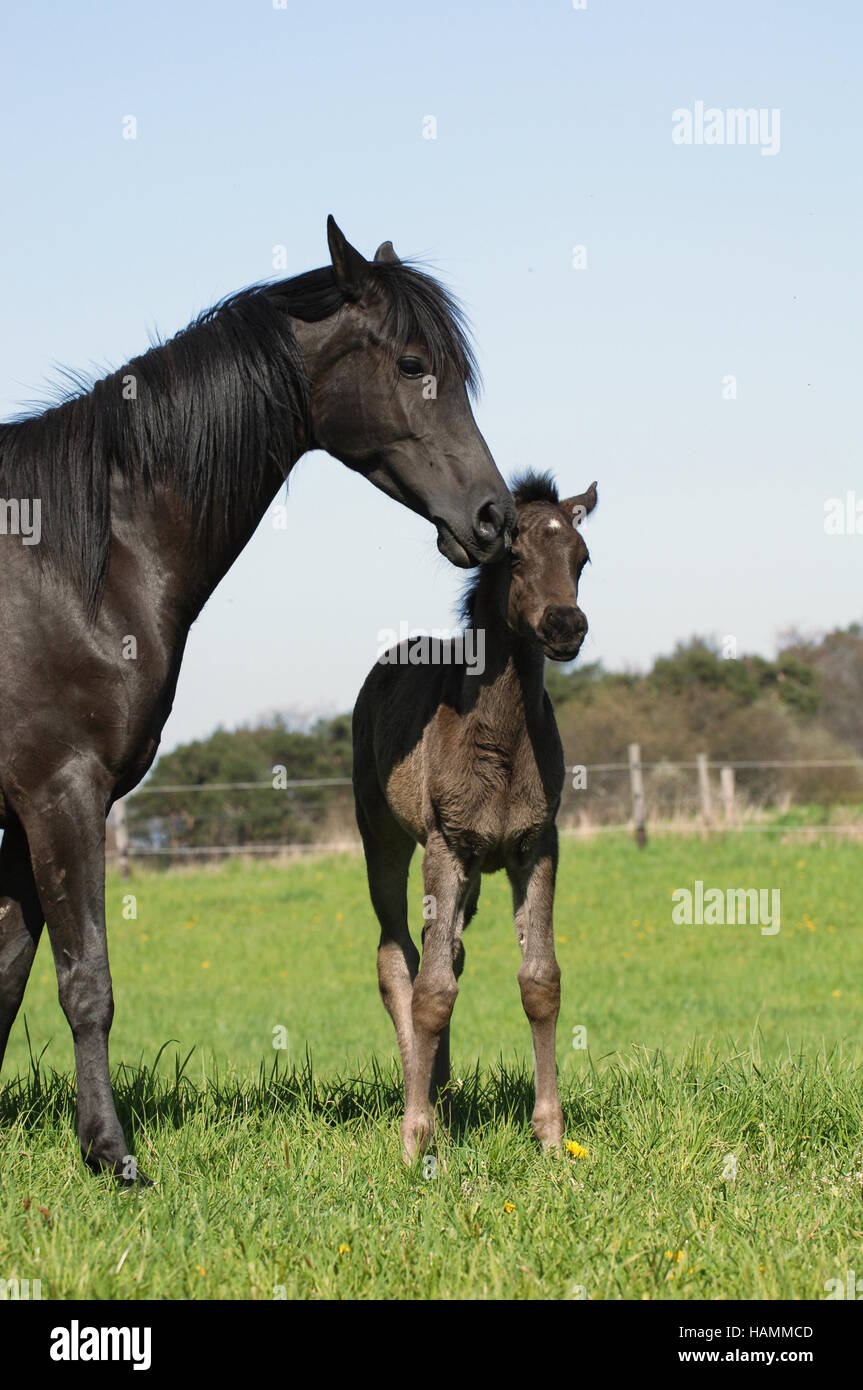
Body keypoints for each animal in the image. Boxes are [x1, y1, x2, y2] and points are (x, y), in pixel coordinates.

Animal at [0, 216, 511, 1173]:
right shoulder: (61, 792)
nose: (493, 518)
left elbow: (7, 972)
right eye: (412, 364)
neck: (73, 561)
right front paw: (111, 1154)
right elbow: (86, 981)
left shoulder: (24, 807)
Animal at [352, 472, 594, 1156]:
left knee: (448, 949)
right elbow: (431, 991)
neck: (503, 739)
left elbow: (540, 981)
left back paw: (442, 1087)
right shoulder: (447, 846)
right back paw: (422, 1093)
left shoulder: (537, 846)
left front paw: (550, 1136)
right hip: (381, 837)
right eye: (514, 558)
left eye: (582, 559)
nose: (566, 624)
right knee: (398, 958)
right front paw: (415, 1137)